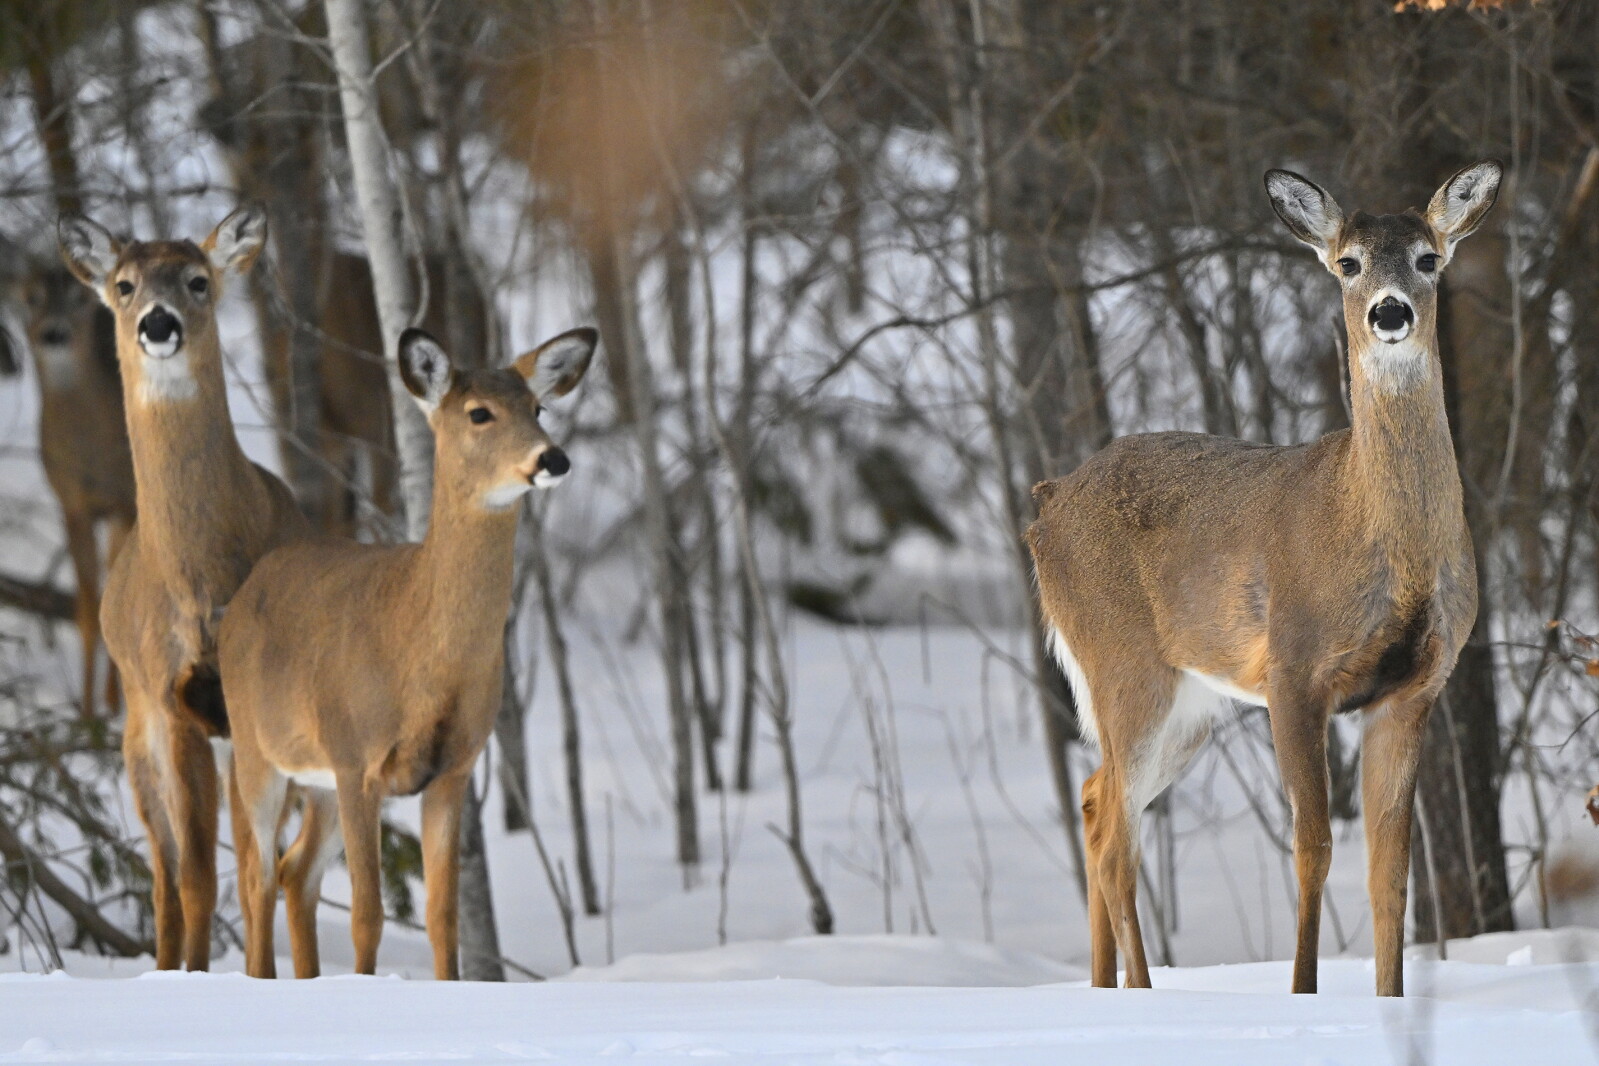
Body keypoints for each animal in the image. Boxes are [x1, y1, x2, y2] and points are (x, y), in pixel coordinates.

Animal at [10, 265, 136, 718]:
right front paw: (84, 711)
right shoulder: (71, 504)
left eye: (80, 300)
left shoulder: (123, 502)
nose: (54, 333)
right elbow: (85, 607)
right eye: (31, 297)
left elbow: (115, 599)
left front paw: (112, 708)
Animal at [57, 205, 310, 971]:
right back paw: (168, 962)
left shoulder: (253, 706)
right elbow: (197, 873)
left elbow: (255, 869)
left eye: (198, 280)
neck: (201, 585)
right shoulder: (173, 701)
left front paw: (257, 979)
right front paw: (197, 979)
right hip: (136, 731)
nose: (158, 322)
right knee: (164, 871)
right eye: (125, 284)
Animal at [219, 325, 596, 980]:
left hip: (317, 781)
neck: (419, 653)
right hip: (257, 749)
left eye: (538, 408)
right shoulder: (356, 759)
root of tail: (243, 594)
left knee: (295, 873)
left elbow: (443, 917)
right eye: (478, 412)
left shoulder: (452, 769)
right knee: (256, 873)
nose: (553, 458)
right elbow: (367, 915)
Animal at [1026, 161, 1501, 998]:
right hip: (1124, 664)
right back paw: (1140, 996)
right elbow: (1311, 848)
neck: (1372, 530)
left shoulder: (1413, 688)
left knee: (1092, 800)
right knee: (1116, 836)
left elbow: (1390, 872)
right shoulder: (1293, 667)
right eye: (1346, 263)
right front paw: (1302, 991)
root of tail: (1046, 503)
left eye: (1427, 258)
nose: (1389, 311)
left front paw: (1388, 999)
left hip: (1189, 704)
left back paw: (1104, 988)